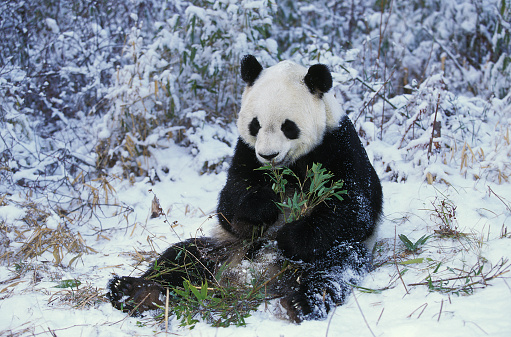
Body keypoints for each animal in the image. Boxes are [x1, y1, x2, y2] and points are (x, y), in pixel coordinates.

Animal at [107, 53, 380, 322]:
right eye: (255, 125)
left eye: (288, 126)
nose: (268, 155)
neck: (285, 167)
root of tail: (249, 278)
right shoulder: (246, 153)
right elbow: (230, 202)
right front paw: (262, 208)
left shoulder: (339, 146)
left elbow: (353, 208)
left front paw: (287, 237)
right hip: (223, 248)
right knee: (182, 258)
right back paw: (133, 291)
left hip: (332, 253)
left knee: (334, 268)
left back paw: (301, 302)